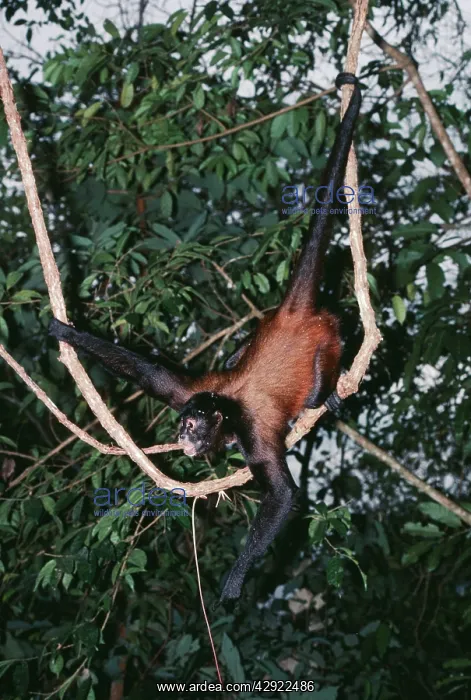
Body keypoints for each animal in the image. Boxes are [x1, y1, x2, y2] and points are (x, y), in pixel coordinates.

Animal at [49, 72, 361, 602]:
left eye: (192, 427)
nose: (181, 437)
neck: (225, 408)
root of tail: (293, 314)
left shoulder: (252, 427)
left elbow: (283, 495)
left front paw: (234, 581)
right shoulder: (190, 392)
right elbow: (155, 374)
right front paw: (63, 329)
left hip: (327, 335)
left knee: (333, 348)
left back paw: (325, 393)